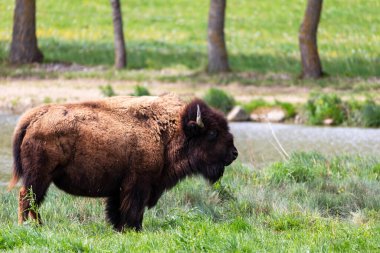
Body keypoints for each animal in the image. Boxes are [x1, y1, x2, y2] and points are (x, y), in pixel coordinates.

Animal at [8, 93, 238, 231]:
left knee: (35, 201)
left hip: (43, 178)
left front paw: (119, 228)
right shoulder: (138, 185)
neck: (169, 131)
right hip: (39, 175)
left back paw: (40, 226)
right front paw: (134, 229)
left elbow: (117, 210)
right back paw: (25, 226)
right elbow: (134, 210)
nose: (234, 154)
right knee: (26, 197)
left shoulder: (120, 188)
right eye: (212, 133)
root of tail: (34, 116)